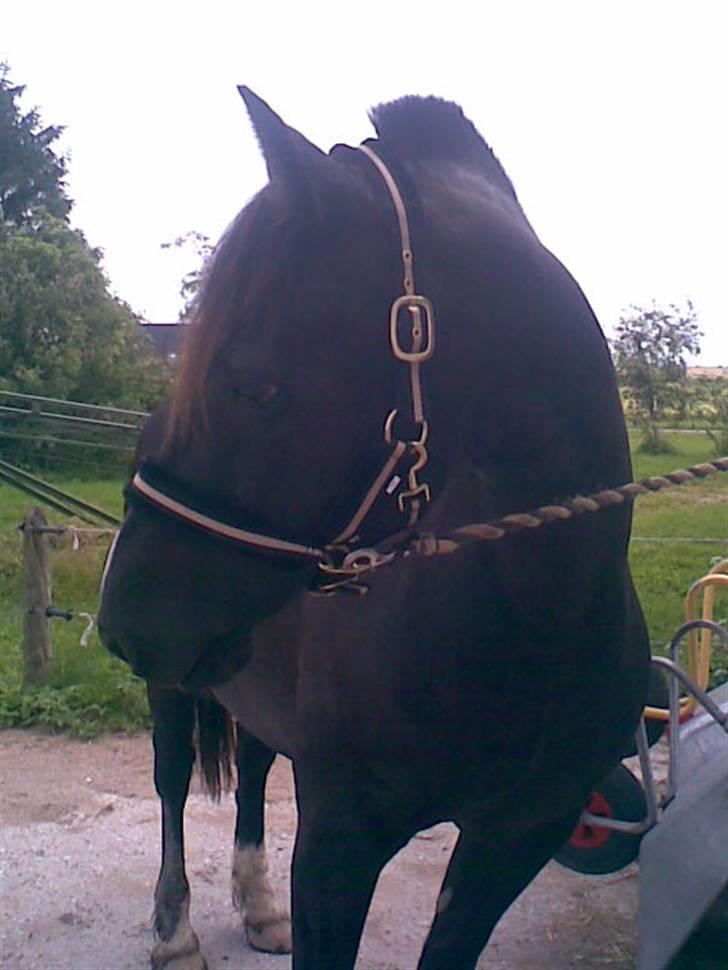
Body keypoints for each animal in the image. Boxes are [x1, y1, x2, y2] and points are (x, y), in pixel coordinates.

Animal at [98, 91, 648, 968]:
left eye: (255, 386)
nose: (122, 617)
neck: (540, 621)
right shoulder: (339, 848)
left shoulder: (514, 842)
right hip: (173, 690)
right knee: (174, 782)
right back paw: (176, 930)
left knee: (255, 766)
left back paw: (255, 904)